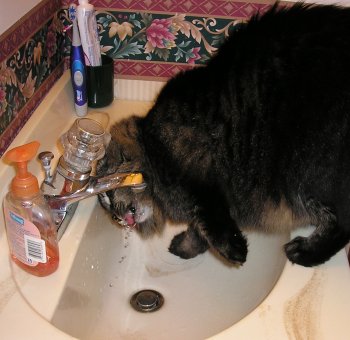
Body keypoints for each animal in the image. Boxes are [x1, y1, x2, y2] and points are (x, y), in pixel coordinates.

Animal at [96, 3, 350, 268]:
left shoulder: (202, 180)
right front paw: (186, 247)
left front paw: (234, 251)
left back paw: (304, 252)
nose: (116, 218)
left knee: (341, 224)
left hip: (306, 169)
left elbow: (210, 223)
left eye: (107, 197)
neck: (150, 142)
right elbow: (199, 231)